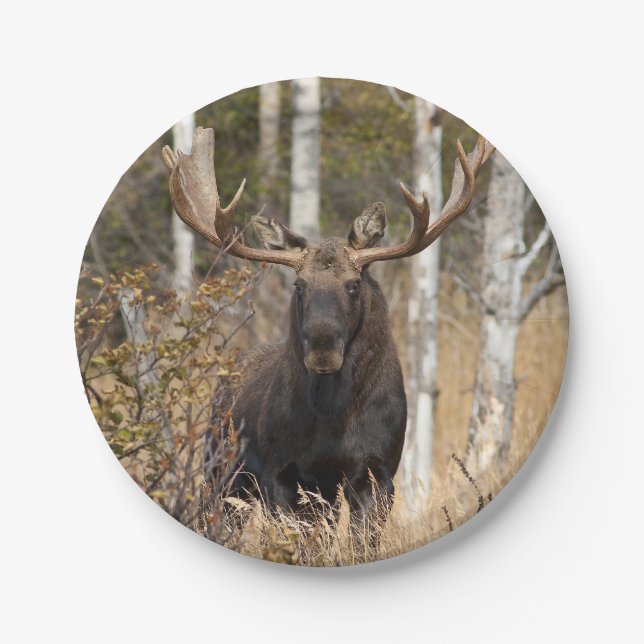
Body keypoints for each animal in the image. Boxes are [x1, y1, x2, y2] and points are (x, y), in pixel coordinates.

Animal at [162, 127, 494, 536]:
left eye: (354, 284)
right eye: (298, 284)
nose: (322, 348)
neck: (333, 422)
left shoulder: (378, 472)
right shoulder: (282, 474)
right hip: (220, 470)